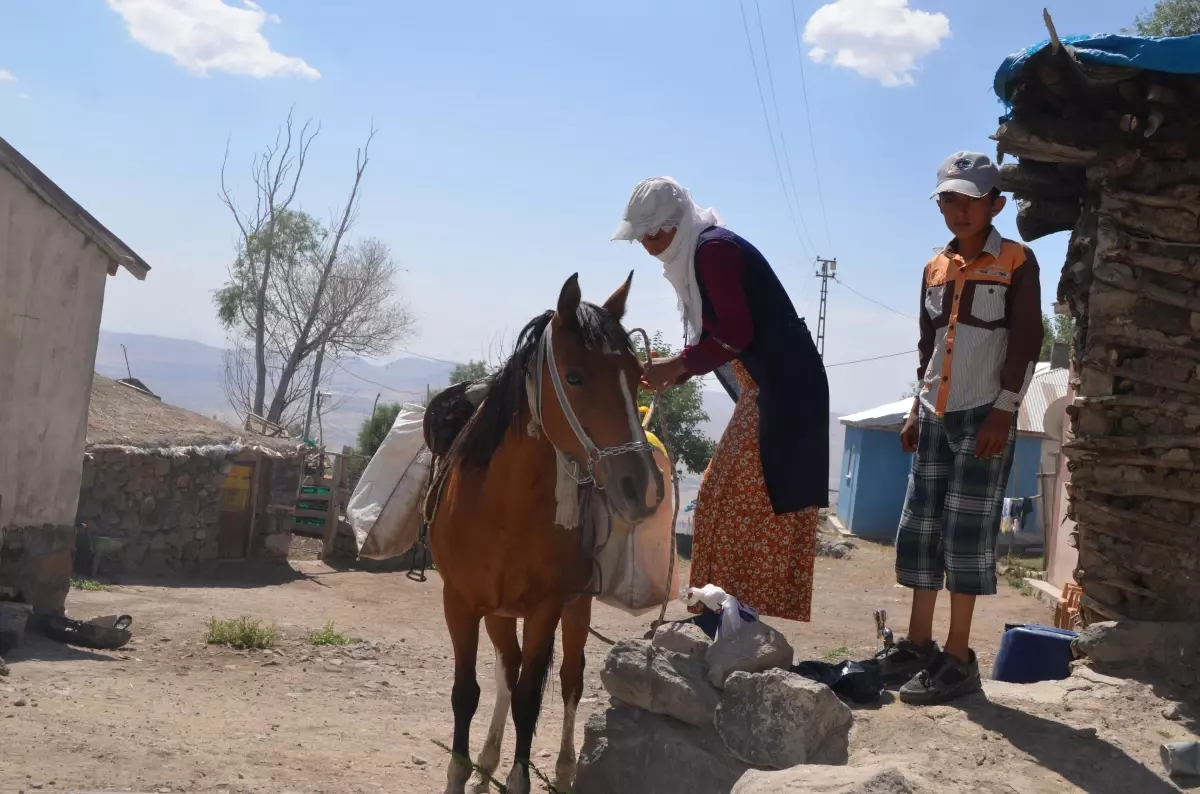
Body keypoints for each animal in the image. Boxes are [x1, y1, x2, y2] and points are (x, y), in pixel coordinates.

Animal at [427, 273, 667, 794]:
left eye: (636, 373)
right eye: (575, 377)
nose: (643, 486)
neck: (503, 509)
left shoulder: (546, 608)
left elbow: (529, 698)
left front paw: (520, 779)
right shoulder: (459, 602)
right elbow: (467, 692)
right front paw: (463, 772)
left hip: (576, 609)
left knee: (570, 679)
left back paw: (563, 770)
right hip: (499, 612)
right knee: (507, 668)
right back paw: (487, 764)